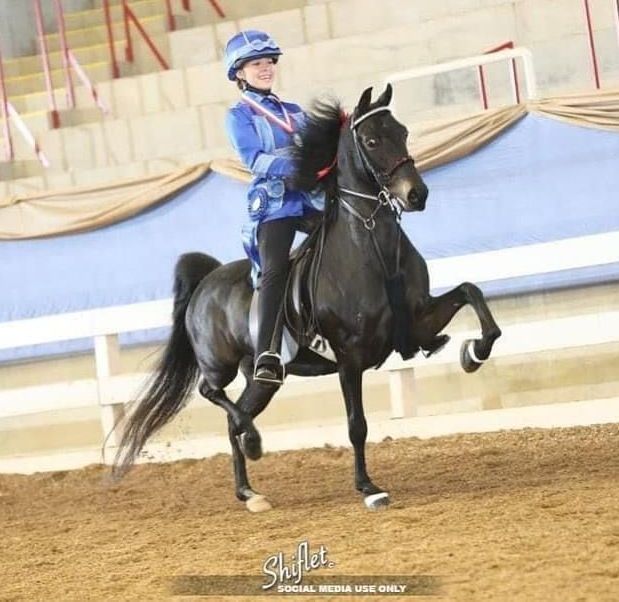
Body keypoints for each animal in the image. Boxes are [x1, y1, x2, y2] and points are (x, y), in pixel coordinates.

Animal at [114, 82, 502, 508]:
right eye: (371, 140)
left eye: (403, 133)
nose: (416, 194)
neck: (370, 247)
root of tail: (206, 281)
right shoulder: (349, 357)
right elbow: (357, 425)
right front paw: (369, 489)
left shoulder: (416, 323)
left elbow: (472, 294)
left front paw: (474, 352)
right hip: (221, 364)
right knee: (213, 395)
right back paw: (253, 447)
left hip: (262, 379)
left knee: (235, 419)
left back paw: (249, 491)